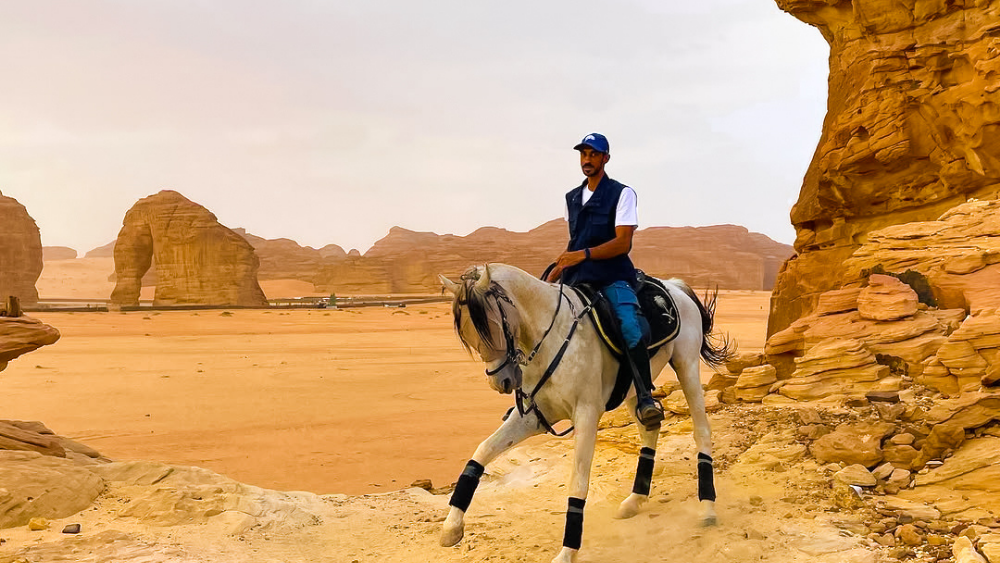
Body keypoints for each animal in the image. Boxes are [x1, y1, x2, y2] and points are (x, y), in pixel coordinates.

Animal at [437, 263, 732, 563]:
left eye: (493, 325)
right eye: (468, 335)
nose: (502, 382)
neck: (549, 337)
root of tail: (674, 285)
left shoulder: (587, 414)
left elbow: (577, 483)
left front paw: (567, 552)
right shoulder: (534, 416)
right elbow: (482, 451)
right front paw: (451, 528)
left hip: (686, 365)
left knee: (701, 430)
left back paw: (707, 508)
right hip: (634, 389)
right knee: (650, 430)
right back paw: (634, 500)